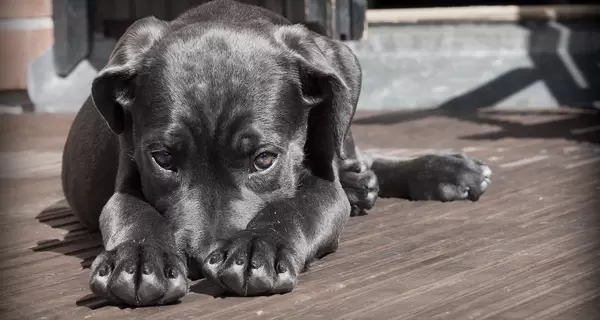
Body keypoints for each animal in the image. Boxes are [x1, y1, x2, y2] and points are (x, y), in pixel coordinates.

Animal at [62, 0, 492, 308]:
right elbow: (132, 212)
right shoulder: (126, 178)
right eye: (163, 159)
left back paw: (444, 170)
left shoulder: (323, 183)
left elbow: (297, 207)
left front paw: (258, 248)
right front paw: (138, 259)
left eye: (264, 159)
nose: (200, 259)